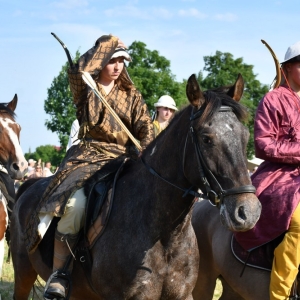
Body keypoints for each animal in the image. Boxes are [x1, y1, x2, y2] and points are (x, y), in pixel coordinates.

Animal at [11, 74, 260, 298]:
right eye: (207, 138)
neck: (164, 234)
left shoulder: (182, 295)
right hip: (23, 272)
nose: (248, 212)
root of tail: (28, 186)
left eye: (245, 135)